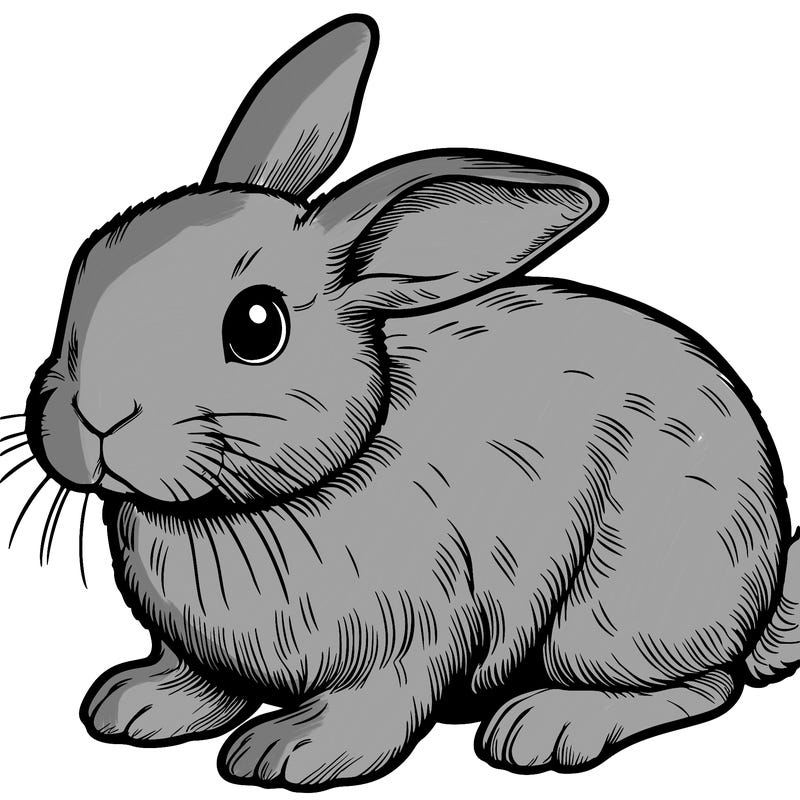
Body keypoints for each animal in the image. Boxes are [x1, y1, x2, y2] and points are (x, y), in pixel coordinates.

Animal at [14, 11, 800, 792]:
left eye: (256, 326)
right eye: (86, 262)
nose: (95, 416)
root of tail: (764, 587)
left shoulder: (415, 633)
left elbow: (378, 704)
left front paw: (291, 752)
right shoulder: (200, 651)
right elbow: (200, 681)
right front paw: (135, 705)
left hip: (619, 609)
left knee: (705, 684)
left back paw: (546, 725)